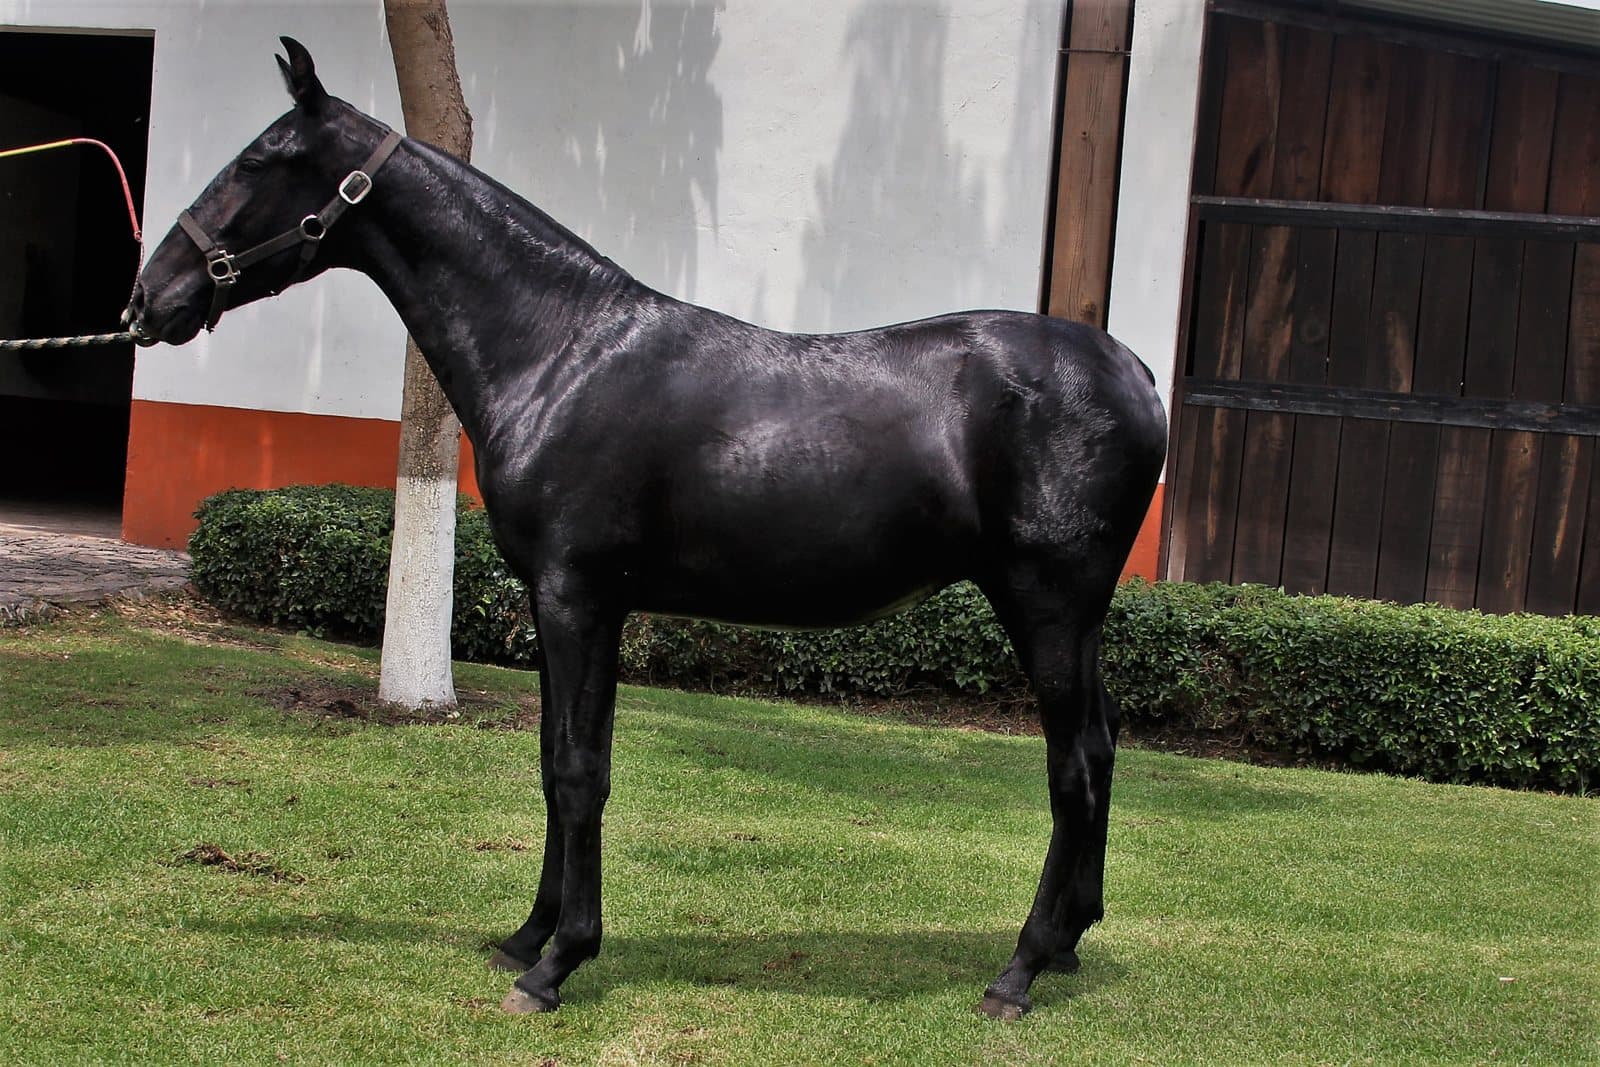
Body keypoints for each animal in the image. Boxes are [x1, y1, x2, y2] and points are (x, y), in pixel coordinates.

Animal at [126, 38, 1168, 1020]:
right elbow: (552, 760)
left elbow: (580, 770)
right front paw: (526, 933)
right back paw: (1068, 940)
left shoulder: (579, 598)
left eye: (259, 160)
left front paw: (557, 963)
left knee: (1074, 768)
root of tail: (1137, 373)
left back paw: (1018, 971)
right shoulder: (565, 603)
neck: (560, 351)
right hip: (1072, 619)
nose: (148, 301)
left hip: (1046, 606)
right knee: (1104, 747)